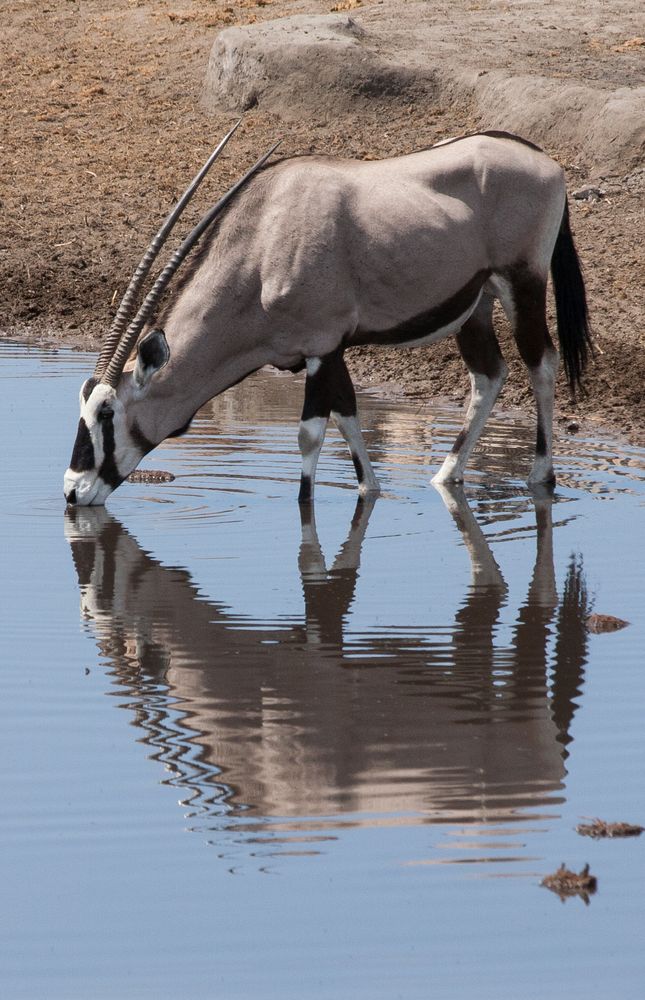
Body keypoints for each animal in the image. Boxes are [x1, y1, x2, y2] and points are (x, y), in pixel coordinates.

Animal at [64, 125, 588, 508]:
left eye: (107, 413)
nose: (72, 492)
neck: (263, 246)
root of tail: (546, 162)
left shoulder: (321, 346)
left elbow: (310, 434)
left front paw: (307, 508)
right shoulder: (329, 352)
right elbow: (348, 415)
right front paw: (369, 489)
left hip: (522, 284)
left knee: (541, 363)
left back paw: (542, 476)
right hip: (474, 305)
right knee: (488, 375)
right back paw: (446, 476)